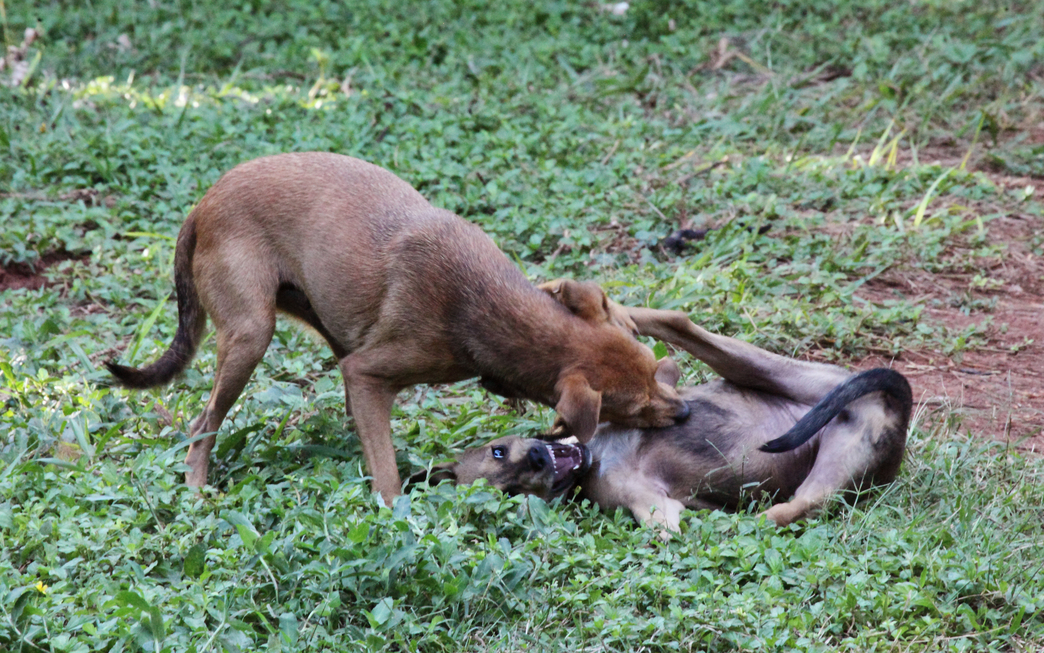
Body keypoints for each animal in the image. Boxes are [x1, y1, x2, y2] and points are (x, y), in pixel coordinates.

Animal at [108, 153, 693, 499]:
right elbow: (388, 477)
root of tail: (201, 205)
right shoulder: (368, 372)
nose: (686, 413)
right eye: (633, 408)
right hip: (252, 335)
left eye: (658, 372)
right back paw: (196, 490)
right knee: (202, 422)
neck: (484, 306)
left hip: (322, 319)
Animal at [411, 292, 910, 532]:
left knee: (679, 323)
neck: (593, 454)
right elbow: (667, 527)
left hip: (771, 372)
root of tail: (894, 411)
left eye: (498, 450)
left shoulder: (662, 382)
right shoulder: (654, 508)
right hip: (831, 471)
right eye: (513, 494)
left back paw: (599, 305)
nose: (536, 458)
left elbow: (658, 368)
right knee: (785, 512)